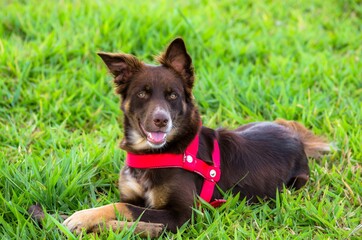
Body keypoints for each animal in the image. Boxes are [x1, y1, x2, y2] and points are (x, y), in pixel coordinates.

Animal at [29, 37, 330, 236]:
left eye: (173, 95)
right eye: (142, 93)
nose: (161, 120)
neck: (155, 153)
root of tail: (295, 136)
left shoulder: (185, 214)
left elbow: (122, 208)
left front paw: (85, 219)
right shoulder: (134, 195)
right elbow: (122, 205)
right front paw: (61, 217)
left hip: (295, 184)